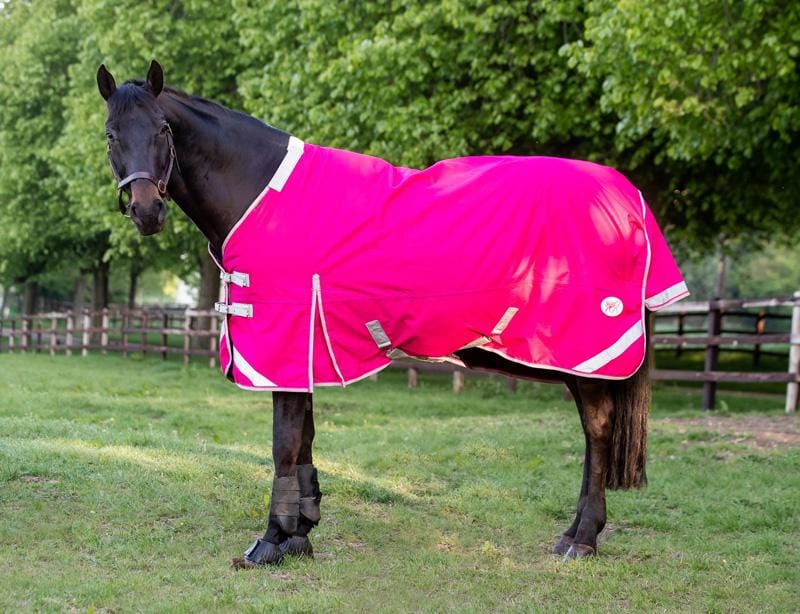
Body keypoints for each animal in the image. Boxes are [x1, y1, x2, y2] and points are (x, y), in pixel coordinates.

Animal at [97, 60, 685, 568]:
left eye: (163, 131)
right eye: (110, 135)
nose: (147, 211)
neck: (259, 191)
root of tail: (627, 195)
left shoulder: (284, 342)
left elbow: (283, 443)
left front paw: (270, 542)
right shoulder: (306, 350)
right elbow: (304, 437)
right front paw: (300, 534)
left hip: (586, 352)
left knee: (597, 430)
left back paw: (581, 539)